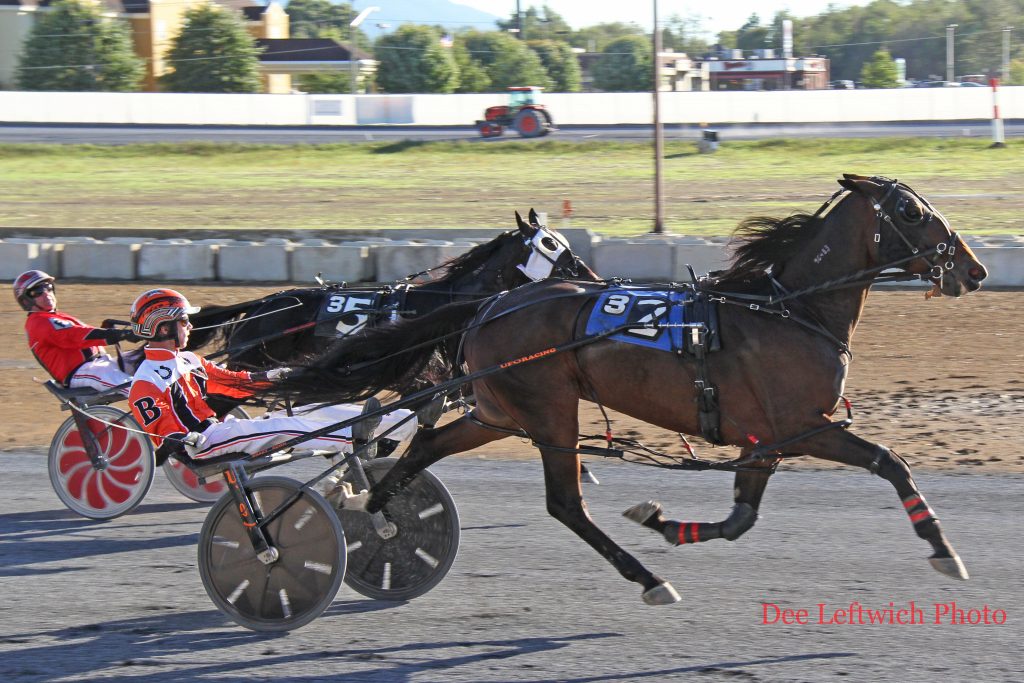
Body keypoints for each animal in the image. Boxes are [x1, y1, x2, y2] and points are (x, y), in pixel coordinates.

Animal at [260, 175, 987, 602]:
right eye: (911, 211)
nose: (974, 269)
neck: (786, 310)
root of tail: (489, 305)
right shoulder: (804, 426)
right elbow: (891, 463)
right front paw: (945, 551)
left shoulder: (764, 439)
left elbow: (741, 518)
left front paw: (663, 521)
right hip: (549, 412)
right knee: (563, 503)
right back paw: (647, 578)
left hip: (499, 409)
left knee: (426, 446)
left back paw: (378, 510)